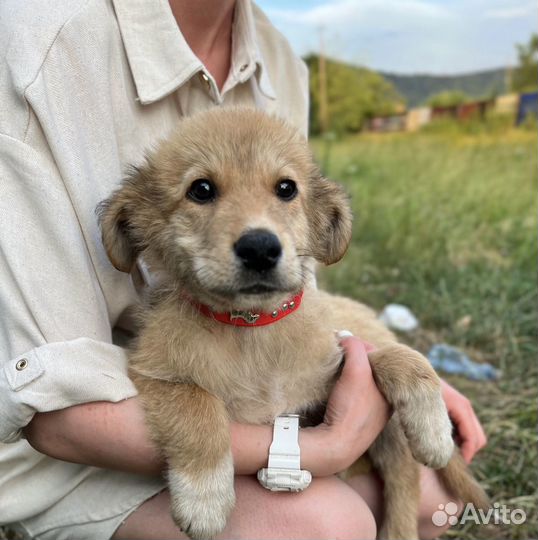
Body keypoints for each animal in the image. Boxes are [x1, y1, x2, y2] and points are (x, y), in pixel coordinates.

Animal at [97, 107, 486, 540]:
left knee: (404, 472)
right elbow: (196, 403)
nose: (260, 248)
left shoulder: (334, 368)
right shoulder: (154, 373)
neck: (253, 330)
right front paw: (204, 499)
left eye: (286, 188)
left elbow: (396, 358)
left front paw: (436, 429)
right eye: (201, 189)